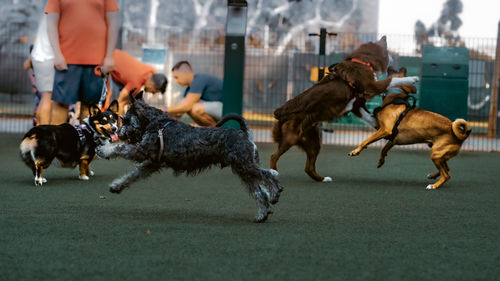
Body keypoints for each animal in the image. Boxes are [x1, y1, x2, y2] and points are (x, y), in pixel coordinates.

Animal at [97, 93, 284, 222]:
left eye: (125, 120)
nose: (119, 133)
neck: (157, 123)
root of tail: (244, 133)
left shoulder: (141, 152)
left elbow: (120, 149)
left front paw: (104, 150)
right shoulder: (151, 163)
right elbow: (132, 175)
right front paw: (116, 186)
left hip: (245, 166)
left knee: (270, 175)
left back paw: (275, 194)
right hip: (244, 170)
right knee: (260, 192)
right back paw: (262, 214)